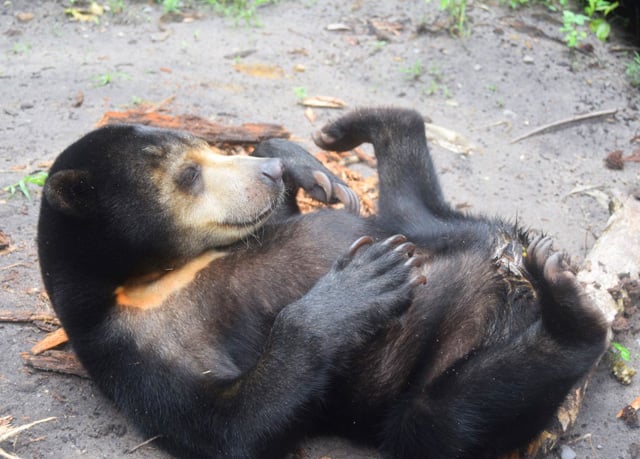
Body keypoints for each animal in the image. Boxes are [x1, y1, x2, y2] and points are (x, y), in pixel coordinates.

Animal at [37, 107, 607, 459]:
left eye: (210, 151)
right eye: (188, 176)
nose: (268, 172)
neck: (157, 279)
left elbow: (287, 214)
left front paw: (305, 168)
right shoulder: (128, 349)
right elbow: (232, 427)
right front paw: (362, 284)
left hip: (419, 223)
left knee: (407, 197)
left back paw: (351, 130)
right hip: (418, 399)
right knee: (453, 413)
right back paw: (568, 308)